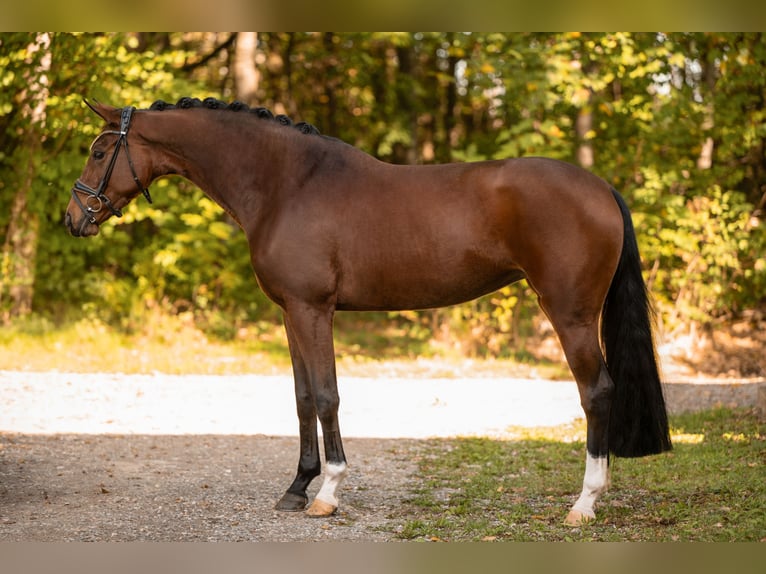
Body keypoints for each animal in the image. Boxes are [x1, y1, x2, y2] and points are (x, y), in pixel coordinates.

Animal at [65, 97, 671, 525]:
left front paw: (328, 493)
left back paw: (584, 504)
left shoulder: (314, 310)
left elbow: (327, 396)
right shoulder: (291, 312)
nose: (74, 218)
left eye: (98, 152)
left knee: (597, 392)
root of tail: (601, 188)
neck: (287, 184)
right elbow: (302, 397)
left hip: (569, 315)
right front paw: (296, 488)